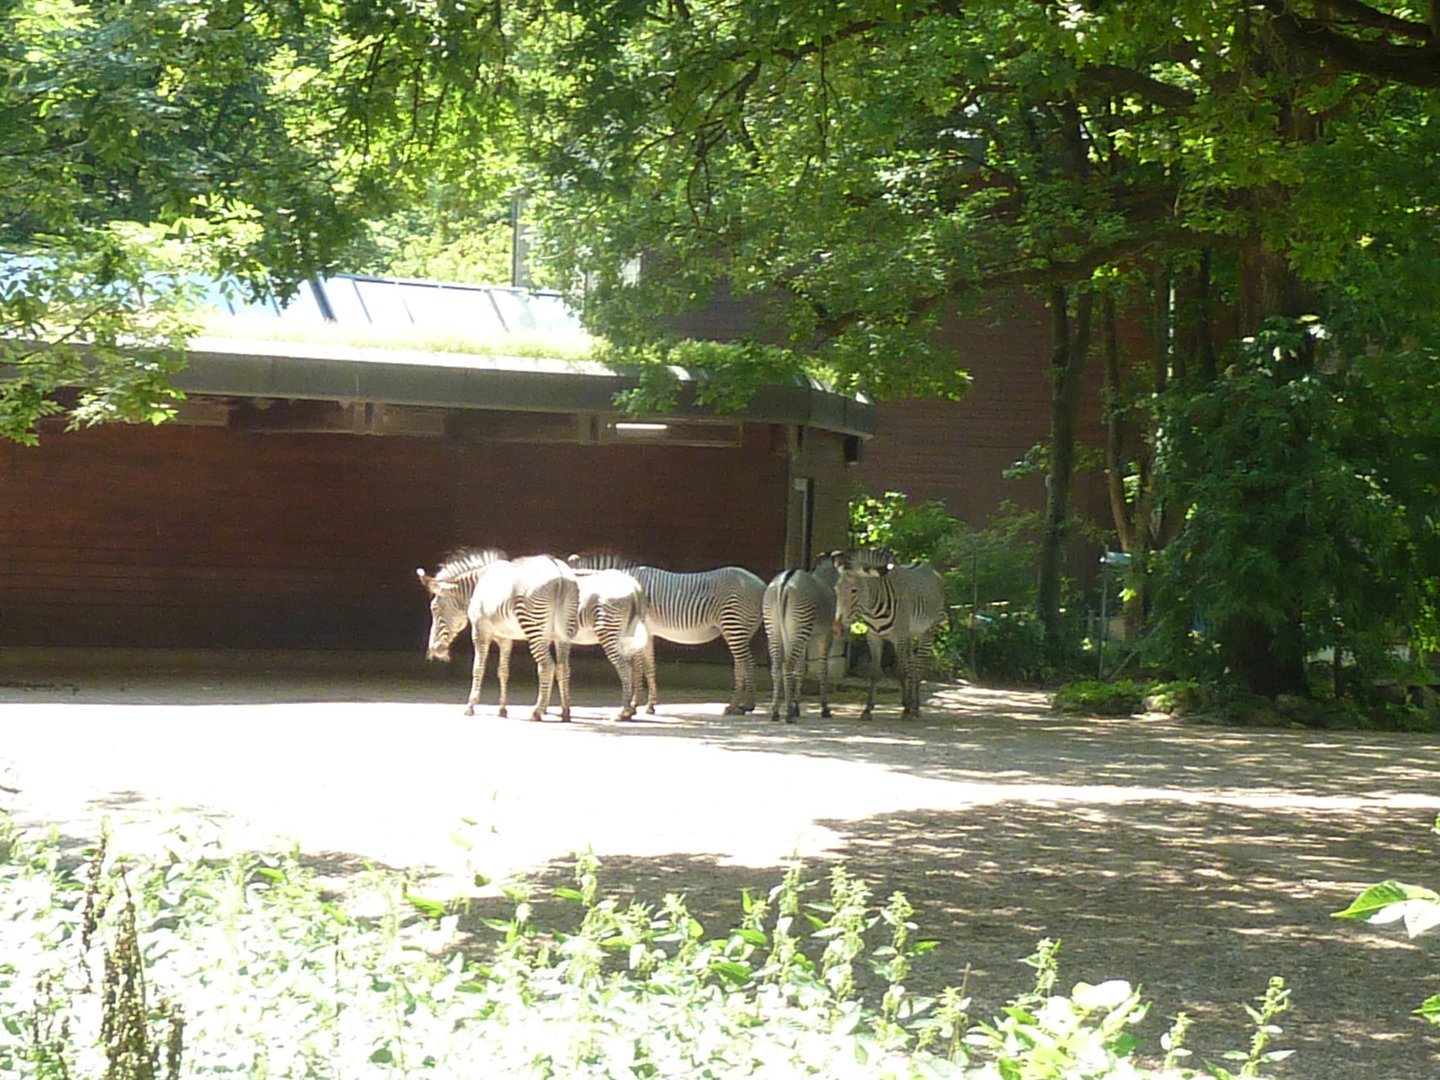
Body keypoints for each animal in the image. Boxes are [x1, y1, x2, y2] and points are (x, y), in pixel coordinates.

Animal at [418, 550, 580, 721]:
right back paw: (565, 711)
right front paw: (502, 709)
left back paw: (536, 712)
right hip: (563, 631)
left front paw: (471, 705)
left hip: (533, 625)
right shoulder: (505, 638)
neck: (477, 585)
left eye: (434, 608)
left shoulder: (479, 632)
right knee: (563, 667)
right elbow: (503, 671)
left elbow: (478, 668)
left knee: (547, 666)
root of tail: (557, 569)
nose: (434, 650)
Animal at [568, 552, 765, 715]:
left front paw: (634, 704)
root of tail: (761, 584)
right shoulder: (648, 633)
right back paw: (738, 704)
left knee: (746, 662)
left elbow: (638, 666)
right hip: (741, 630)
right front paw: (649, 705)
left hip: (733, 624)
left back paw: (745, 705)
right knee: (741, 663)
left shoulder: (638, 631)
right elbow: (649, 666)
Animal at [762, 562, 838, 723]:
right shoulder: (824, 636)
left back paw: (776, 712)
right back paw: (788, 715)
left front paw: (796, 706)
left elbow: (801, 669)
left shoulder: (806, 638)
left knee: (777, 667)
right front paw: (824, 708)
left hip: (775, 628)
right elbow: (823, 669)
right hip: (800, 626)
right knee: (787, 665)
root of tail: (784, 582)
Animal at [831, 547, 946, 720]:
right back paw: (911, 702)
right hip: (910, 634)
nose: (837, 627)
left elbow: (900, 672)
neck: (873, 610)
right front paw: (867, 709)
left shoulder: (899, 637)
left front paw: (906, 709)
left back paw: (915, 707)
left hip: (928, 631)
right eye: (836, 590)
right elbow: (875, 672)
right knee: (911, 665)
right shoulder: (873, 637)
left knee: (917, 667)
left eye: (854, 590)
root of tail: (928, 568)